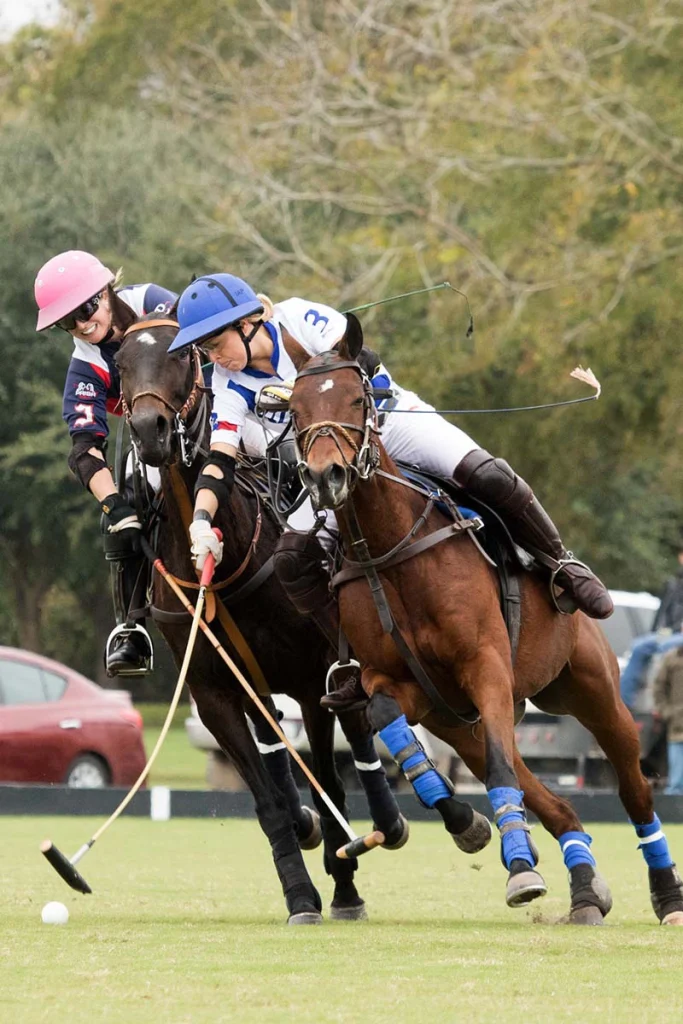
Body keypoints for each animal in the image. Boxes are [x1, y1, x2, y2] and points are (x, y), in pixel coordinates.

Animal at [114, 319, 409, 929]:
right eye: (122, 361)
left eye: (181, 359)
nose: (152, 430)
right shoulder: (214, 692)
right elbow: (270, 802)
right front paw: (301, 894)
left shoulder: (311, 678)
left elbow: (329, 782)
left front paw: (345, 888)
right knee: (279, 743)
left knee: (358, 732)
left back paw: (389, 825)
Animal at [288, 315, 683, 925]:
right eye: (295, 407)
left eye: (356, 398)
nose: (326, 476)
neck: (390, 550)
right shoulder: (401, 684)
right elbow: (385, 716)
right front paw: (464, 822)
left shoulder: (486, 664)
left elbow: (500, 770)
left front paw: (520, 870)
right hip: (464, 721)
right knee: (555, 803)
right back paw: (585, 891)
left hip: (592, 689)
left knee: (633, 789)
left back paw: (667, 896)